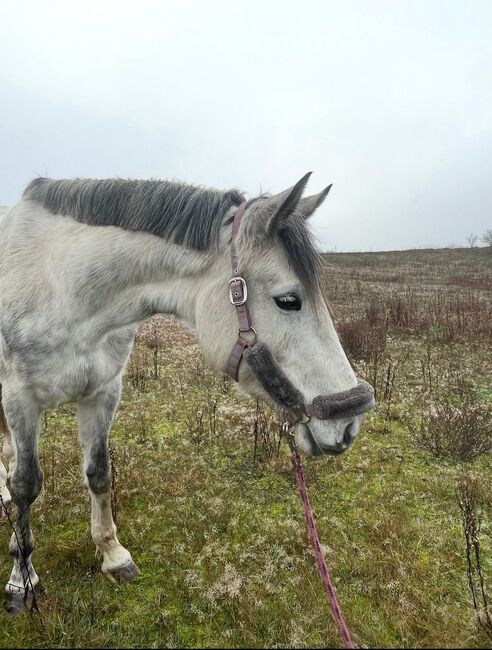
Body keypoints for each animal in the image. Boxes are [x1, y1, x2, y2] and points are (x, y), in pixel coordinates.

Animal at [0, 172, 374, 612]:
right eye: (288, 300)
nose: (348, 421)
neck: (64, 290)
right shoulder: (21, 399)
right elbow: (27, 486)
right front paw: (22, 577)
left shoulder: (103, 392)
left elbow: (99, 473)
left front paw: (112, 554)